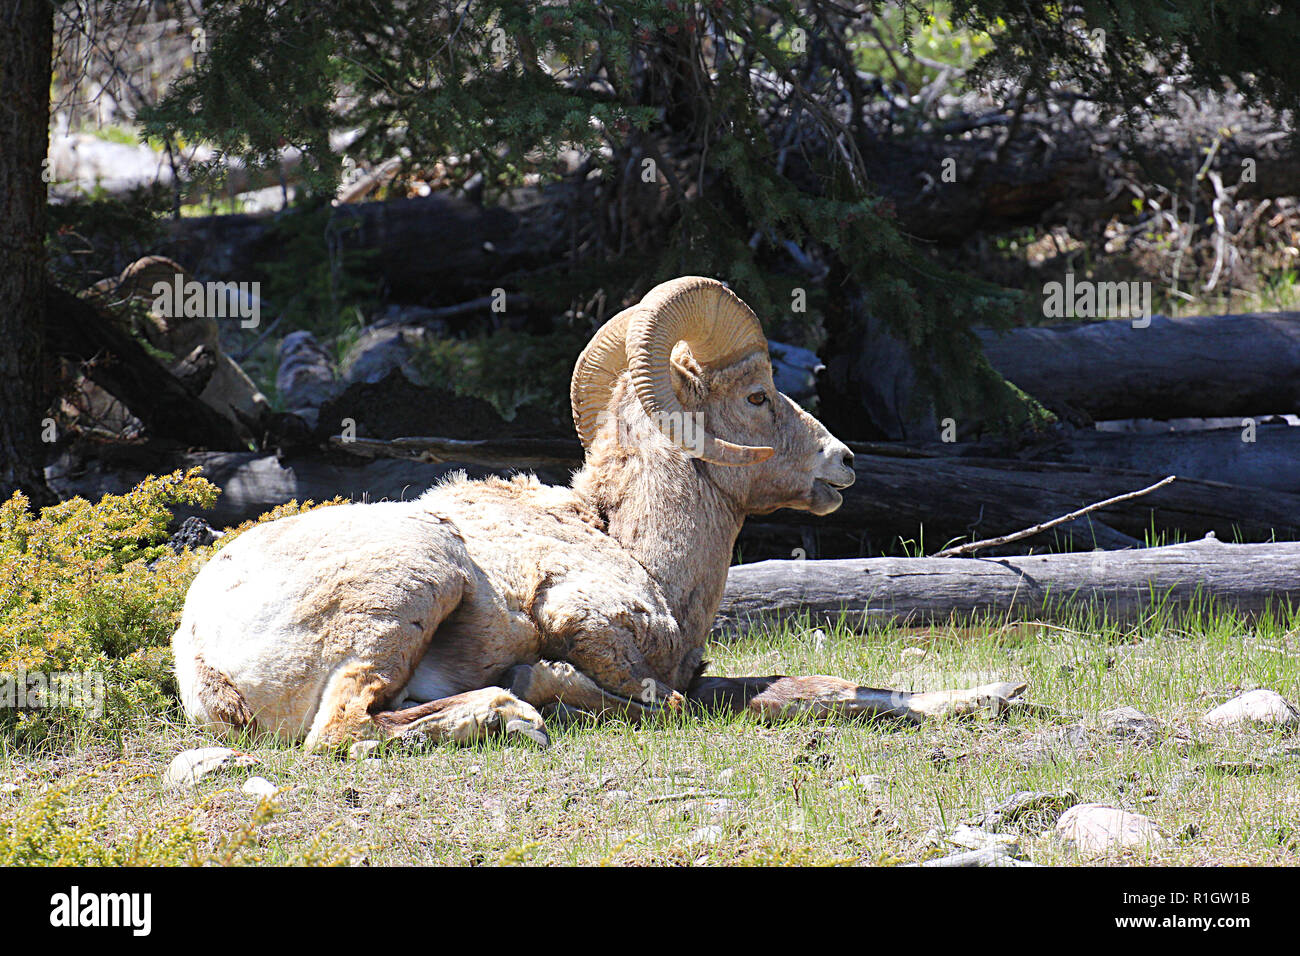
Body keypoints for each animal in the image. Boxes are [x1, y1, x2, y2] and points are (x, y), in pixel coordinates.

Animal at [173, 276, 1024, 750]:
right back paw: (512, 710)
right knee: (343, 730)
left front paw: (997, 696)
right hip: (416, 584)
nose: (843, 462)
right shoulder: (589, 622)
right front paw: (541, 679)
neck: (638, 550)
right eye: (756, 396)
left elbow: (818, 689)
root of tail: (200, 650)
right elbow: (659, 699)